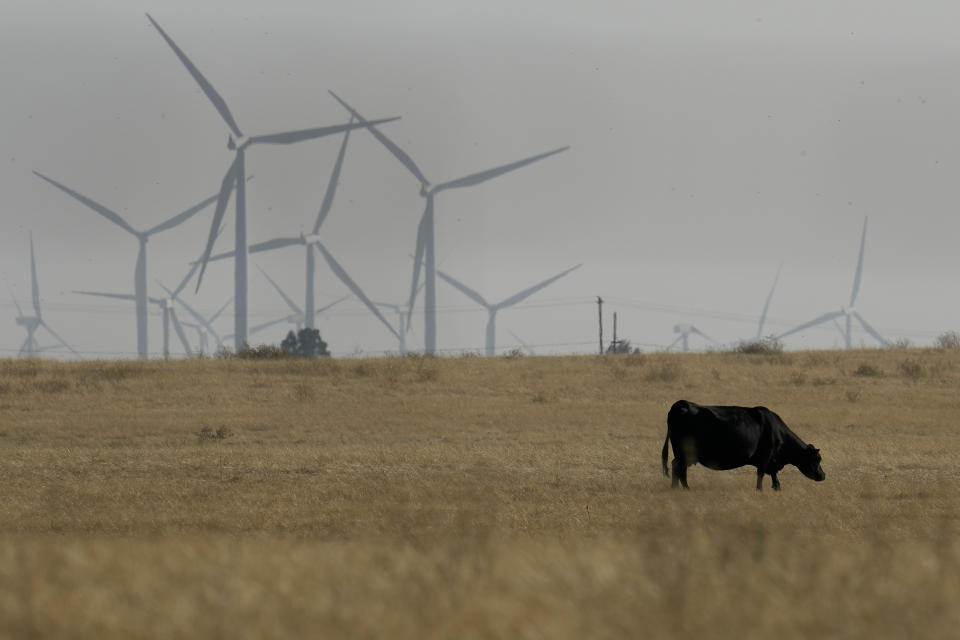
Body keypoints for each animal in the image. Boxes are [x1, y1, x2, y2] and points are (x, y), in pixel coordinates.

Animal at [660, 400, 824, 490]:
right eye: (817, 459)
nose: (823, 475)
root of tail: (682, 404)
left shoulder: (771, 462)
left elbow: (774, 477)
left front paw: (776, 488)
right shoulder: (765, 458)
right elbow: (761, 475)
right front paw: (759, 490)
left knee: (677, 468)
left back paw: (676, 488)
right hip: (684, 452)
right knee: (679, 468)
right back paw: (685, 489)